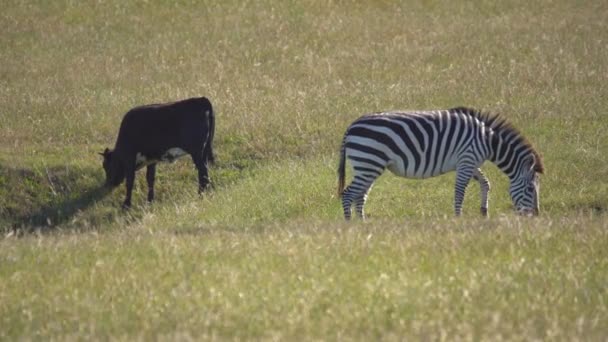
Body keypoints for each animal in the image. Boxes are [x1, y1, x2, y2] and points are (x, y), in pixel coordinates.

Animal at [338, 106, 548, 219]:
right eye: (530, 188)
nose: (535, 215)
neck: (488, 140)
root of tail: (351, 126)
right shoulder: (467, 159)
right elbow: (460, 192)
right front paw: (458, 218)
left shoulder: (470, 162)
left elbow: (485, 182)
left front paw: (484, 211)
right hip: (369, 162)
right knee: (348, 194)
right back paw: (350, 226)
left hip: (369, 166)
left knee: (360, 195)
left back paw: (363, 223)